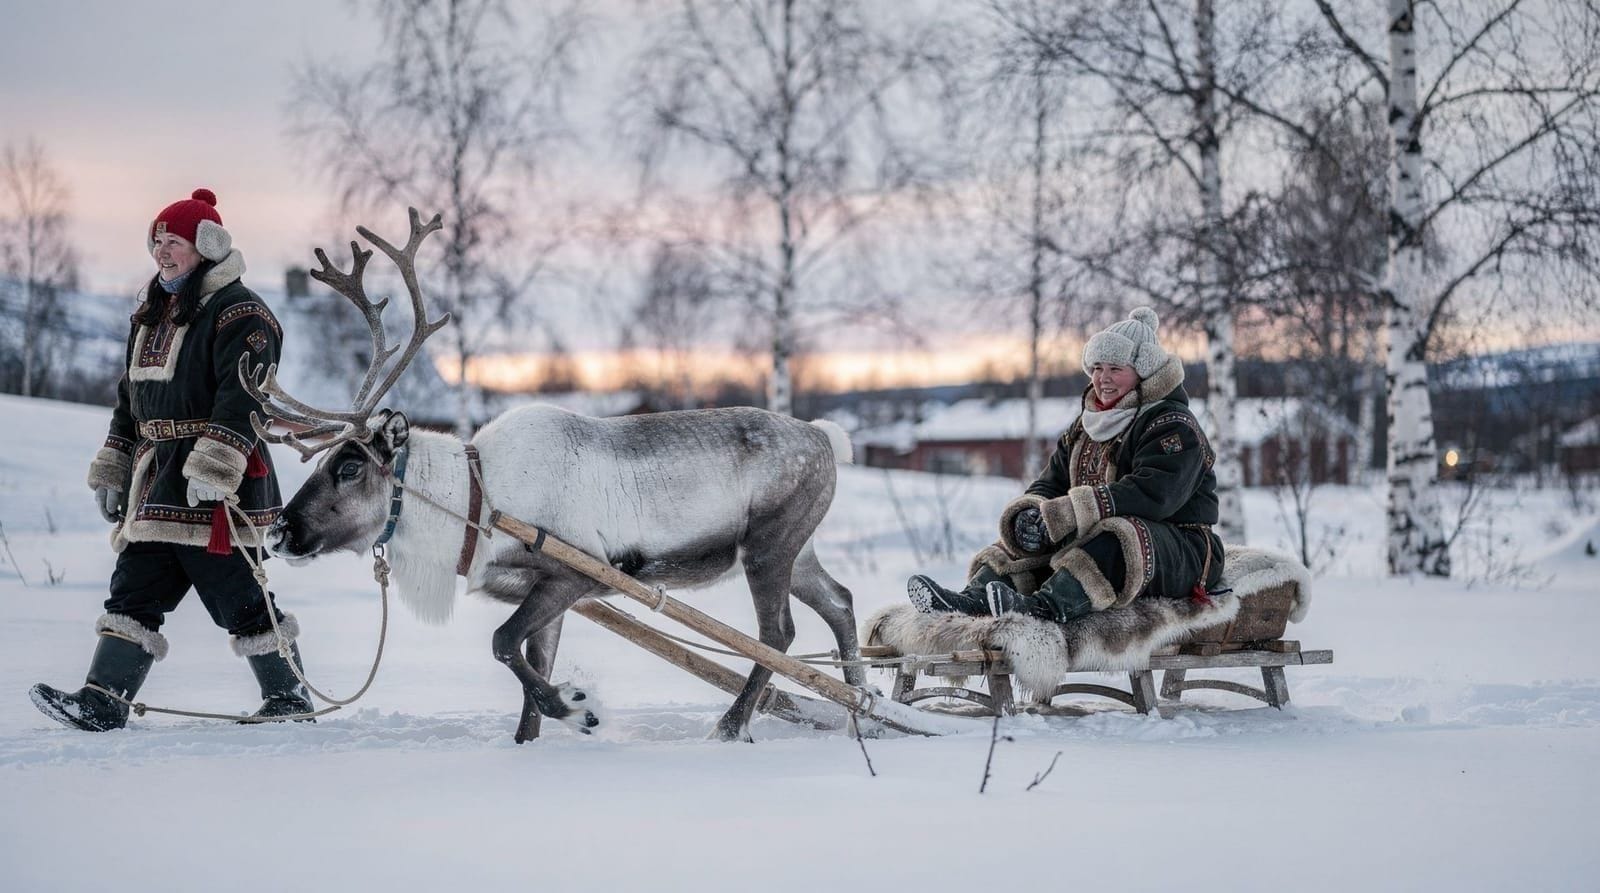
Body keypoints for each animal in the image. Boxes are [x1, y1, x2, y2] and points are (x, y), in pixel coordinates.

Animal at [244, 209, 864, 744]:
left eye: (349, 467)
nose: (278, 532)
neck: (476, 501)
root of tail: (825, 438)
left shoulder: (577, 572)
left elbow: (503, 645)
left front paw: (579, 706)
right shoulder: (544, 589)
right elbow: (530, 664)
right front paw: (535, 737)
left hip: (768, 547)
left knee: (776, 635)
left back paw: (732, 727)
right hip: (795, 550)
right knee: (840, 602)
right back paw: (865, 708)